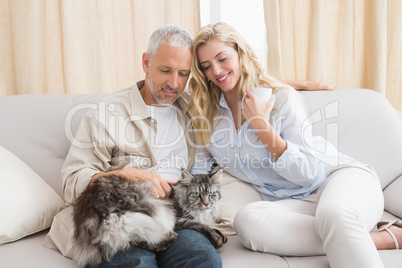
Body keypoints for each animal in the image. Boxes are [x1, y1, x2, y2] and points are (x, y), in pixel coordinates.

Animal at [70, 165, 225, 268]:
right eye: (197, 194)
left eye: (212, 194)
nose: (206, 204)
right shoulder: (180, 219)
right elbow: (201, 225)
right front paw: (217, 238)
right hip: (145, 210)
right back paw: (171, 236)